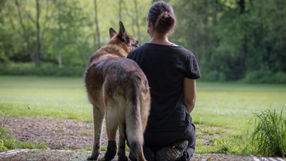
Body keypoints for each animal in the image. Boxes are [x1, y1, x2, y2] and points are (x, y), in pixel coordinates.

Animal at [84, 21, 151, 161]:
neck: (112, 49)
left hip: (110, 114)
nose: (142, 44)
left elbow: (97, 138)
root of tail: (131, 74)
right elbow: (122, 140)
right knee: (139, 145)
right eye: (136, 42)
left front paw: (93, 156)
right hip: (140, 118)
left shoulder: (97, 109)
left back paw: (104, 158)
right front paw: (122, 157)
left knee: (111, 146)